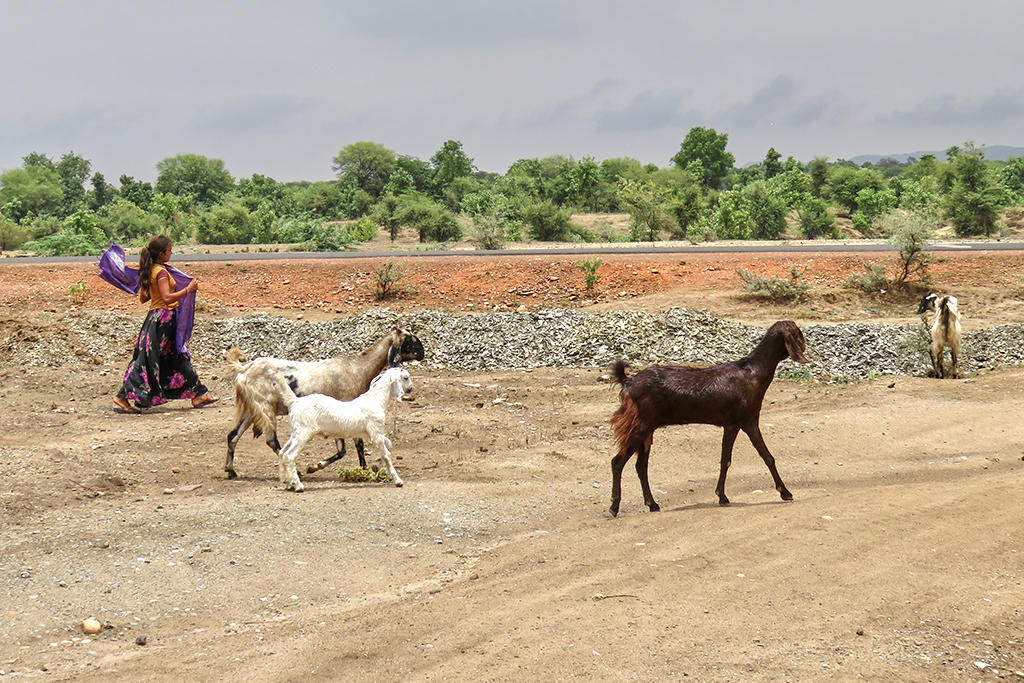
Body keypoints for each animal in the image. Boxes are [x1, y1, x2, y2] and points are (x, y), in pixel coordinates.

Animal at [606, 321, 806, 518]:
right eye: (798, 333)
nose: (805, 346)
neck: (753, 373)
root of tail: (628, 382)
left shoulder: (750, 421)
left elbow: (766, 456)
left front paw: (784, 492)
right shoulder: (735, 423)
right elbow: (726, 460)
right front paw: (723, 496)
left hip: (647, 430)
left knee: (641, 466)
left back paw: (652, 504)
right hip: (640, 425)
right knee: (617, 462)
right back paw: (614, 506)